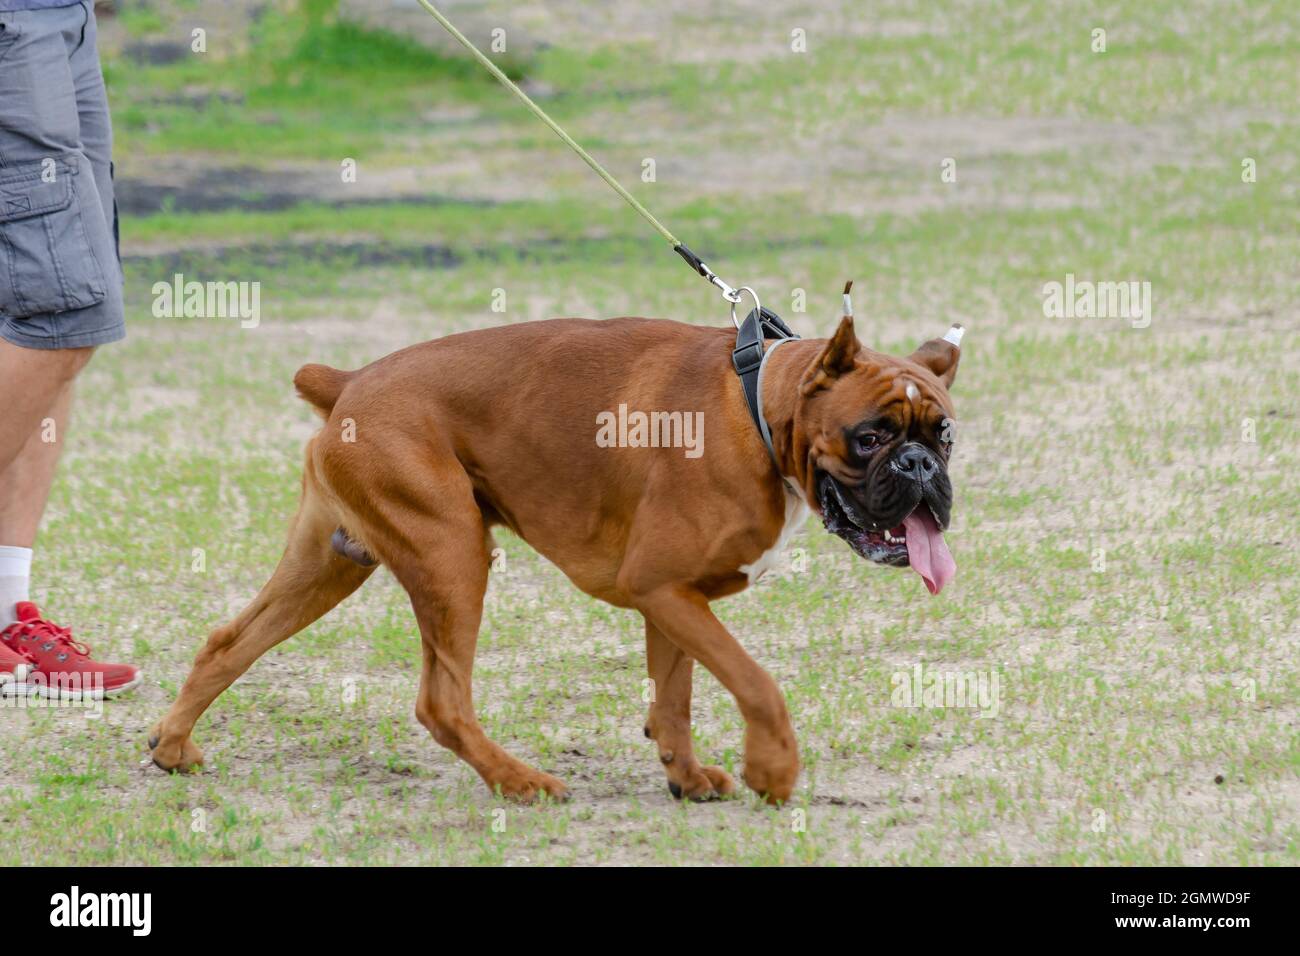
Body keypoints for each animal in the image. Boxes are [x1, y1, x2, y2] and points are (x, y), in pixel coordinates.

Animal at [149, 303, 967, 806]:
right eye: (869, 437)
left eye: (945, 434)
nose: (922, 468)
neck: (760, 408)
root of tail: (348, 383)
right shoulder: (663, 589)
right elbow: (755, 681)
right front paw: (773, 768)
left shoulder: (674, 598)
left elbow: (674, 697)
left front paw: (687, 775)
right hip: (452, 553)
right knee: (442, 701)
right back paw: (519, 783)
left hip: (329, 564)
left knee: (229, 643)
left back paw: (171, 746)